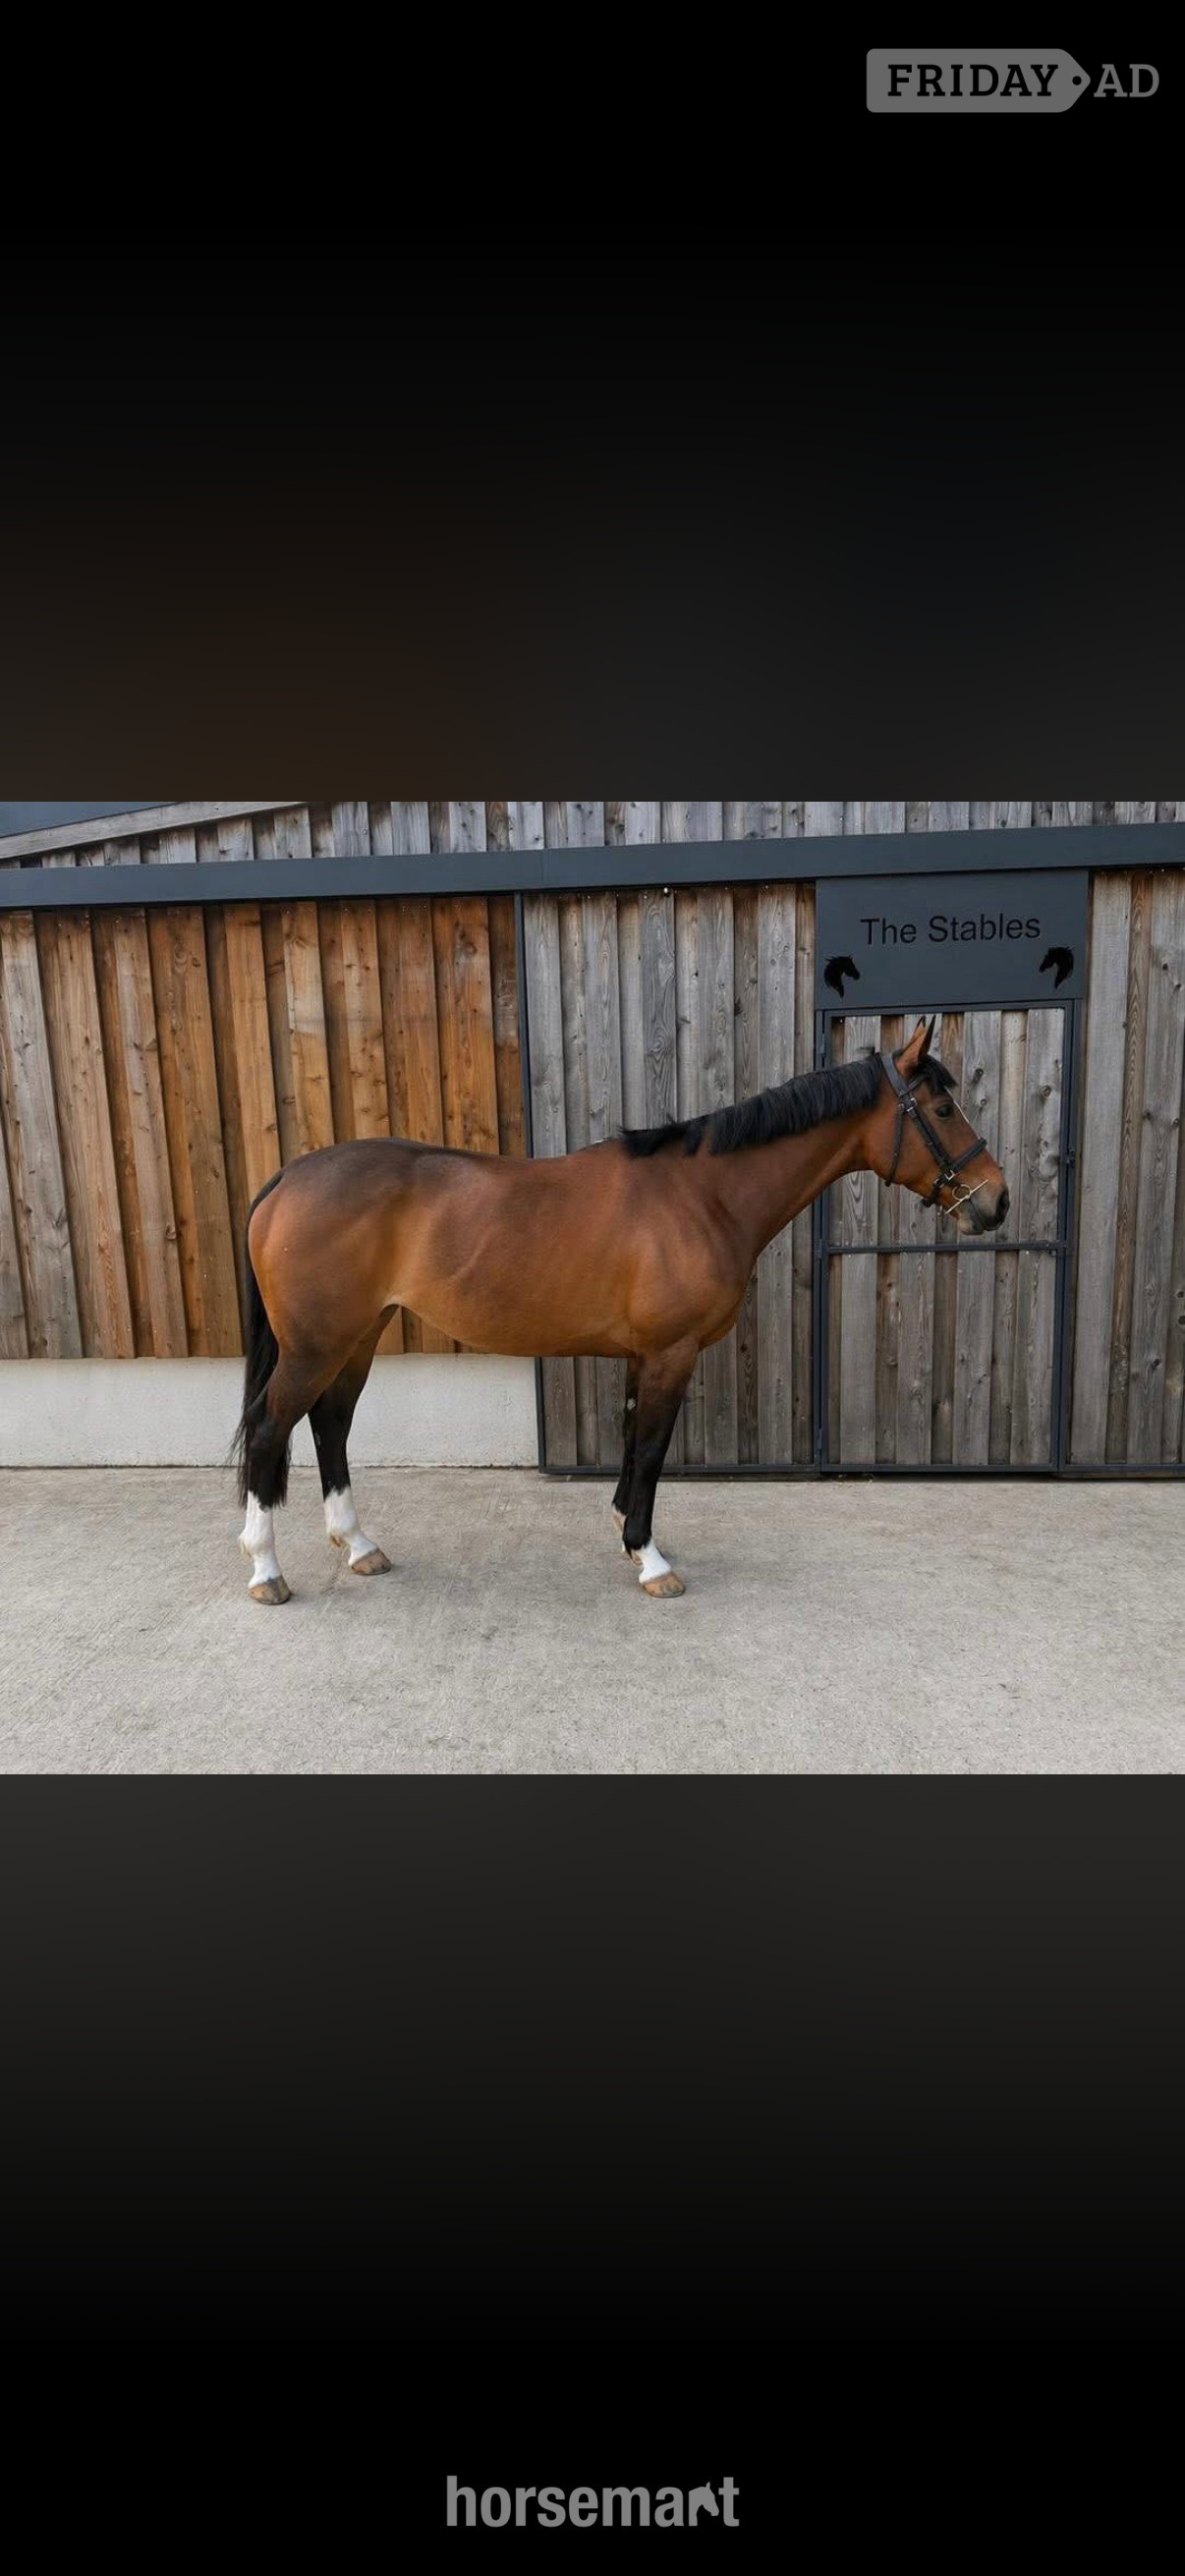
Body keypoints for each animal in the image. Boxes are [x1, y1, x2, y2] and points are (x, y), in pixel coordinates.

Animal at [233, 1015, 1008, 1605]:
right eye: (943, 1109)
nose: (997, 1201)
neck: (702, 1195)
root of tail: (286, 1179)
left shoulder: (644, 1355)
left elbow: (635, 1441)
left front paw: (625, 1537)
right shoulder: (672, 1352)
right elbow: (653, 1448)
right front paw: (651, 1558)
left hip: (356, 1337)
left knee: (330, 1425)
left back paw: (359, 1545)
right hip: (316, 1345)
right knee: (273, 1428)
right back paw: (266, 1569)